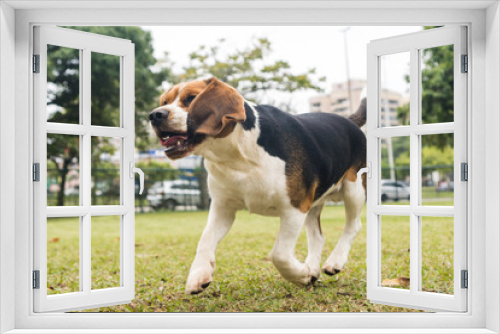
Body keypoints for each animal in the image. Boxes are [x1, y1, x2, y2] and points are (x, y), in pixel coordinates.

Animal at [148, 77, 368, 294]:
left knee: (354, 225)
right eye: (165, 101)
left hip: (353, 189)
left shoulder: (294, 207)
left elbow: (279, 254)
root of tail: (348, 120)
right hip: (314, 201)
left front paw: (300, 275)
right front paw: (199, 275)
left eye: (191, 98)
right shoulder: (223, 208)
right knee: (318, 236)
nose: (155, 115)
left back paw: (335, 261)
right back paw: (313, 268)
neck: (236, 155)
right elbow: (205, 239)